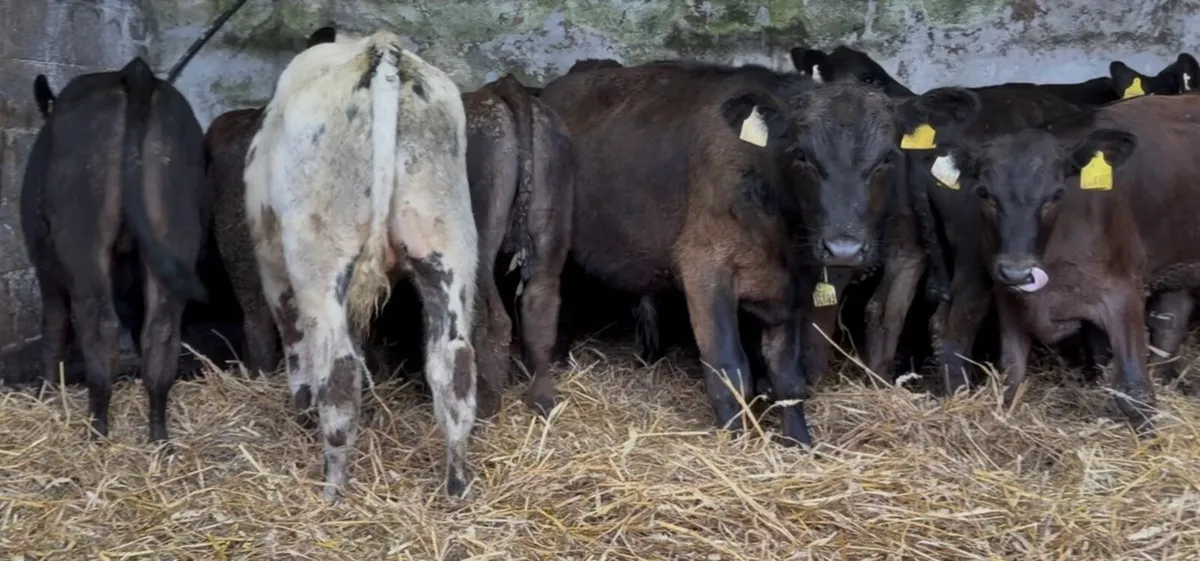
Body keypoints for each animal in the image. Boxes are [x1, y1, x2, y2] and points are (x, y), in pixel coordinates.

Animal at [22, 58, 209, 443]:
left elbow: (54, 330)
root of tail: (134, 72)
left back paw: (97, 430)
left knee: (100, 325)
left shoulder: (46, 268)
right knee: (161, 330)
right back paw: (158, 436)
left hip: (83, 238)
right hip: (174, 227)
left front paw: (45, 391)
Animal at [244, 30, 480, 501]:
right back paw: (457, 486)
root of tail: (382, 51)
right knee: (455, 367)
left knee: (338, 372)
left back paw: (332, 489)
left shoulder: (271, 261)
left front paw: (301, 412)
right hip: (447, 246)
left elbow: (294, 342)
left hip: (319, 258)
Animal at [462, 75, 574, 417]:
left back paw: (485, 400)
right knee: (541, 304)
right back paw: (542, 398)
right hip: (549, 227)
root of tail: (504, 88)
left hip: (481, 232)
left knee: (490, 315)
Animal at [538, 60, 981, 446]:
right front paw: (737, 443)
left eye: (886, 158)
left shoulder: (790, 291)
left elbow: (787, 372)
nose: (844, 247)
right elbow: (729, 367)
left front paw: (800, 443)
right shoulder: (705, 267)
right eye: (802, 155)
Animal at [908, 93, 1200, 429]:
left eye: (1056, 194)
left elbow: (1133, 389)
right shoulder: (1010, 298)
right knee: (952, 329)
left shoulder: (1124, 292)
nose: (1018, 272)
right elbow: (1011, 379)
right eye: (985, 193)